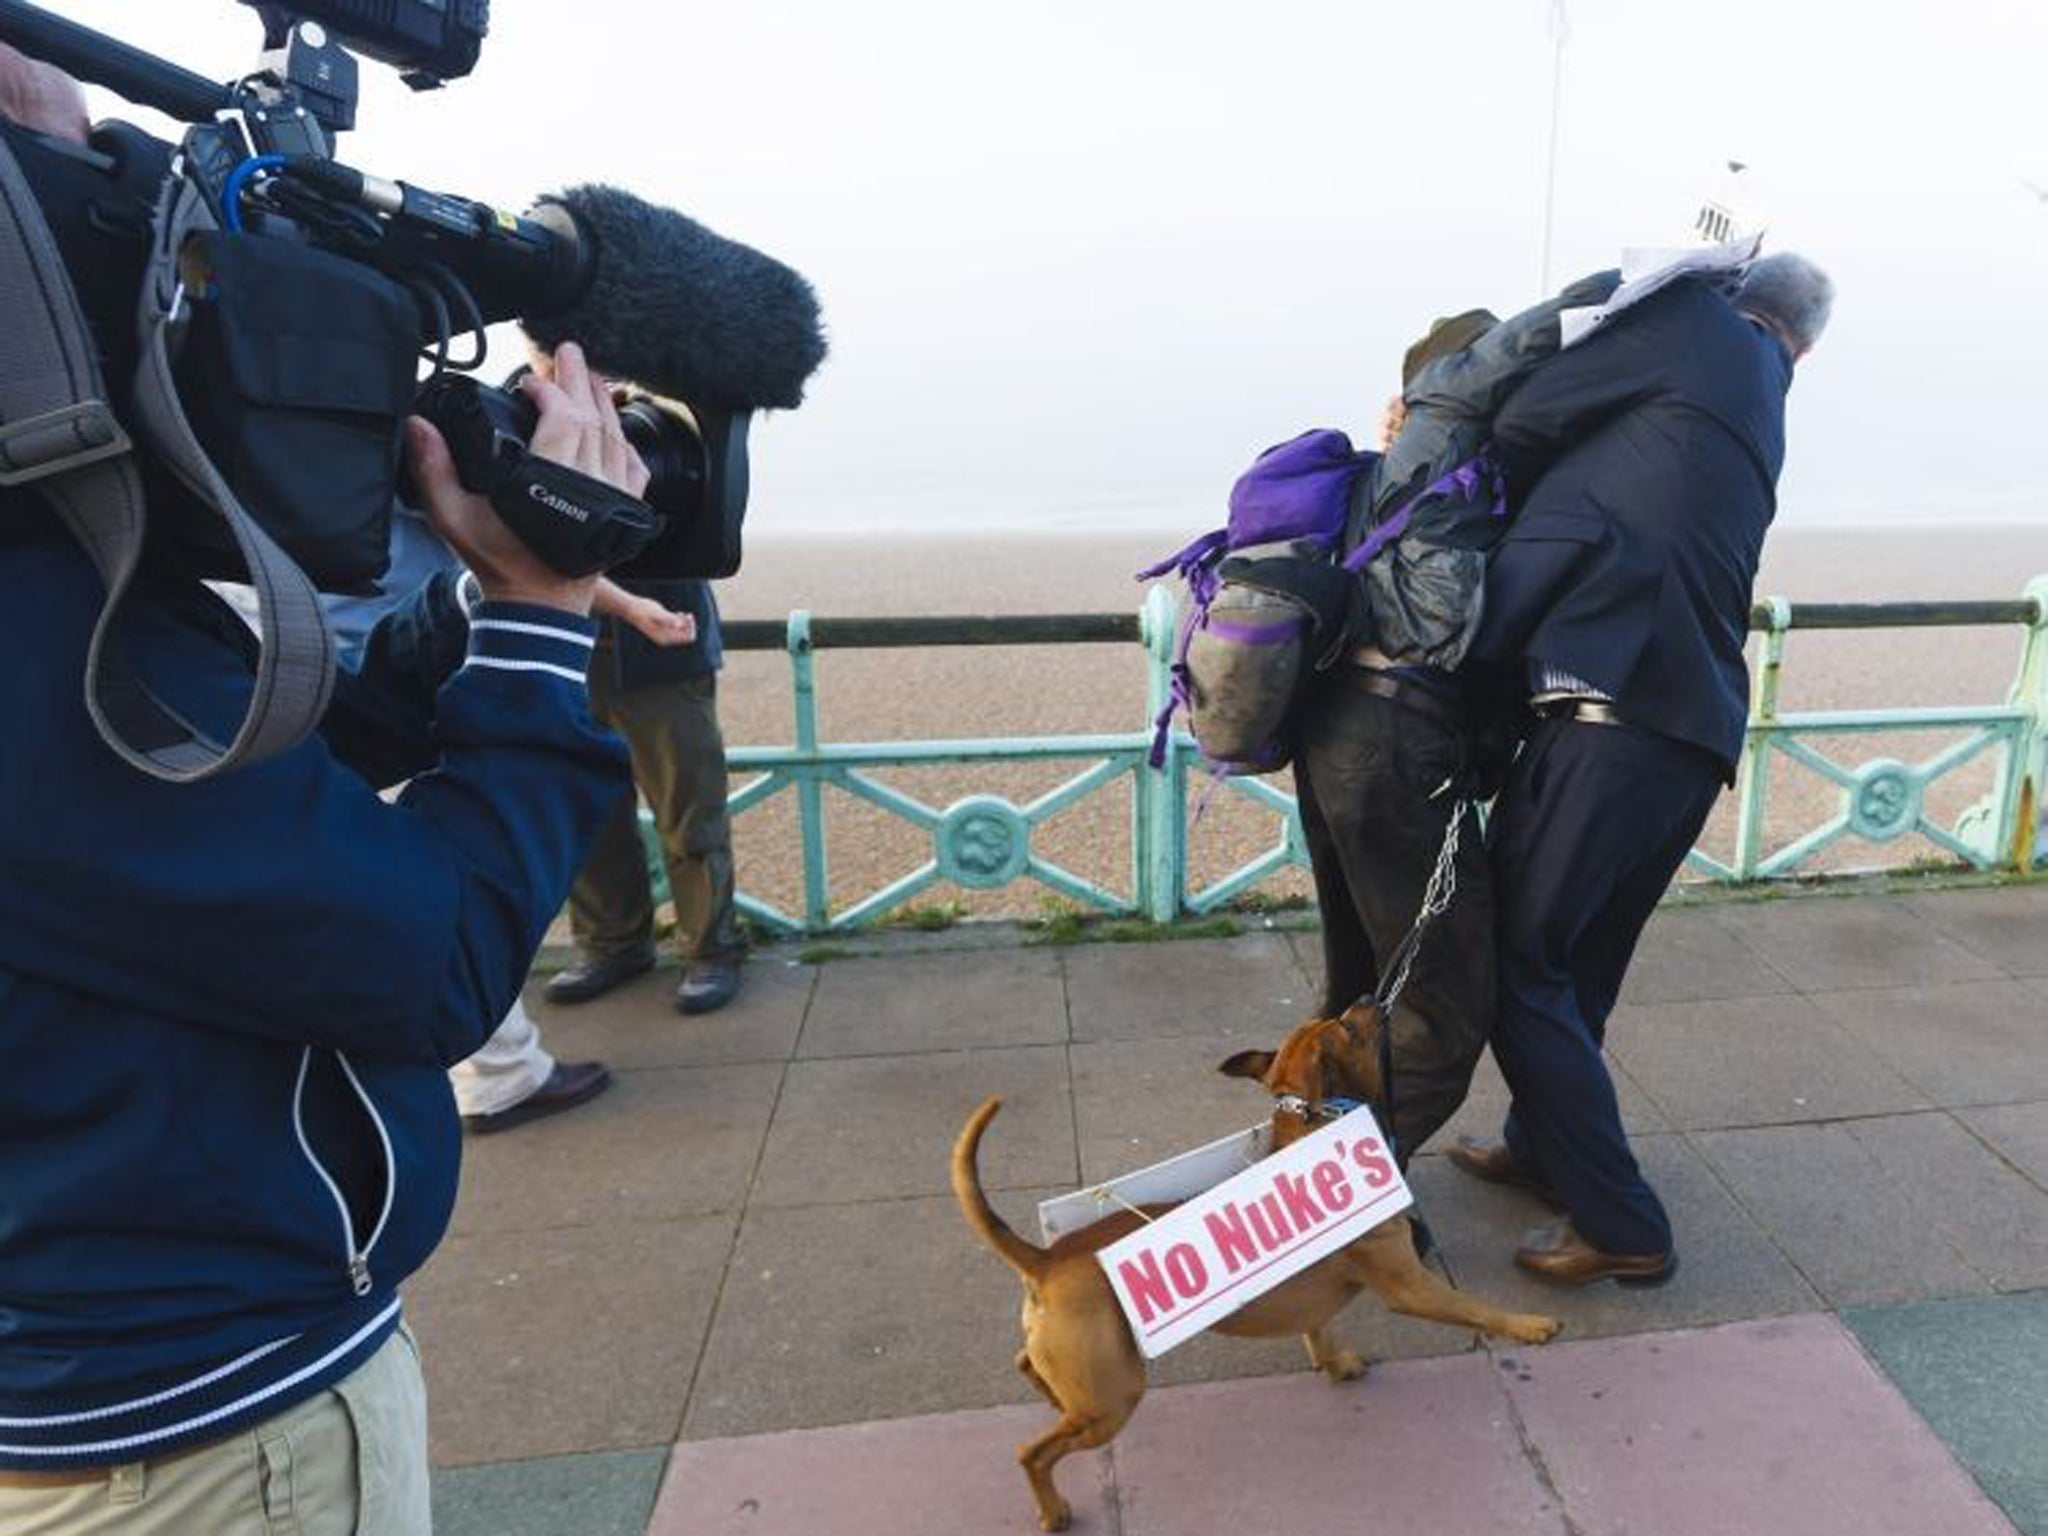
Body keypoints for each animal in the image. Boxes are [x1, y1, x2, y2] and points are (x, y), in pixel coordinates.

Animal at [950, 1003, 1556, 1531]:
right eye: (1346, 1026)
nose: (1370, 996)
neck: (1317, 1123)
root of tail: (1046, 1257)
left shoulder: (1322, 1302)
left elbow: (1320, 1328)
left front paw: (1334, 1363)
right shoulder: (1412, 1286)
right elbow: (1477, 1308)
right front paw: (1528, 1325)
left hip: (1085, 1381)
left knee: (1029, 1367)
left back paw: (1051, 1400)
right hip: (1112, 1400)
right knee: (1033, 1454)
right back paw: (1053, 1510)